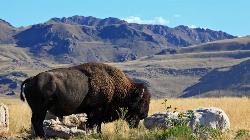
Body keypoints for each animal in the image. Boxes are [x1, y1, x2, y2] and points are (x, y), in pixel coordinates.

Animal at [20, 63, 150, 137]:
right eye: (141, 101)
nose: (144, 115)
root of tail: (32, 79)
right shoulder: (96, 111)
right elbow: (93, 124)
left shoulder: (97, 113)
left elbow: (97, 125)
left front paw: (99, 134)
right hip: (40, 110)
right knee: (37, 122)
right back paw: (43, 136)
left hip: (38, 110)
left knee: (35, 122)